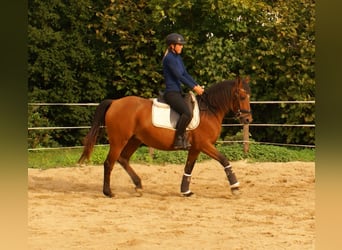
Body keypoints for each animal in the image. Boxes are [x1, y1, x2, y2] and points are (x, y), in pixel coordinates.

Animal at [79, 76, 252, 197]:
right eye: (242, 97)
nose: (248, 120)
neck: (209, 110)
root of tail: (115, 102)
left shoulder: (196, 147)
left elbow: (188, 167)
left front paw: (185, 191)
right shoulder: (204, 144)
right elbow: (224, 160)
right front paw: (235, 187)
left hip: (135, 140)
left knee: (123, 159)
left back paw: (138, 185)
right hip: (118, 140)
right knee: (109, 163)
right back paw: (108, 192)